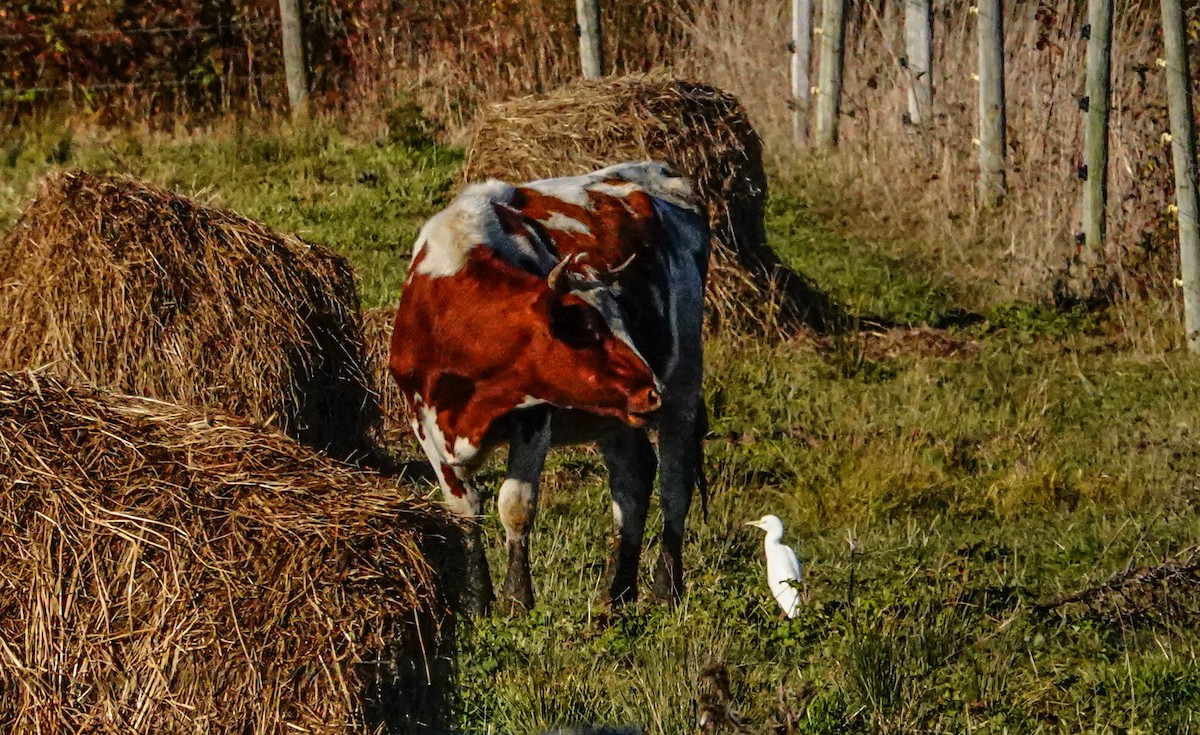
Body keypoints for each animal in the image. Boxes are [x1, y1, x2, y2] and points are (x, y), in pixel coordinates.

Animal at [388, 161, 709, 614]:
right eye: (585, 330)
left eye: (623, 320)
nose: (651, 390)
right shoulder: (423, 421)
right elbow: (464, 509)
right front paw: (477, 601)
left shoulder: (532, 417)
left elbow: (515, 506)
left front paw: (516, 598)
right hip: (615, 417)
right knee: (633, 479)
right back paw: (617, 593)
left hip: (685, 383)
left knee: (674, 483)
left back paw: (666, 589)